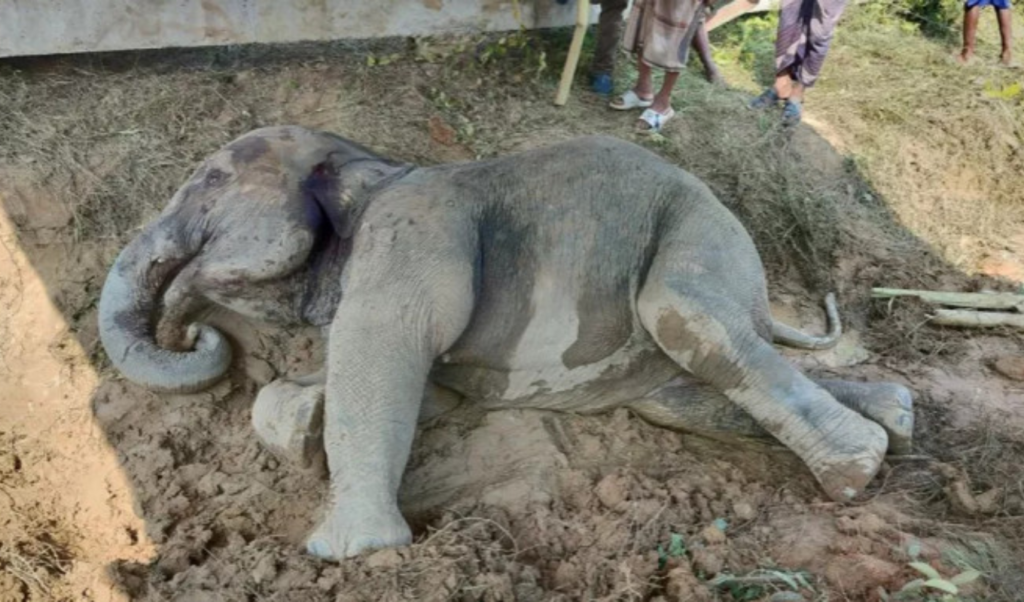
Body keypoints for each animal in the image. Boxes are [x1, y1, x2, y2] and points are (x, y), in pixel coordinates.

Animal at [98, 126, 914, 561]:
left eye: (208, 184)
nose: (189, 329)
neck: (372, 164)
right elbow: (425, 389)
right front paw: (302, 427)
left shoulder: (412, 235)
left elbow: (383, 352)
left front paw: (352, 554)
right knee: (682, 396)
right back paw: (897, 416)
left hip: (702, 238)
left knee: (683, 315)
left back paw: (857, 469)